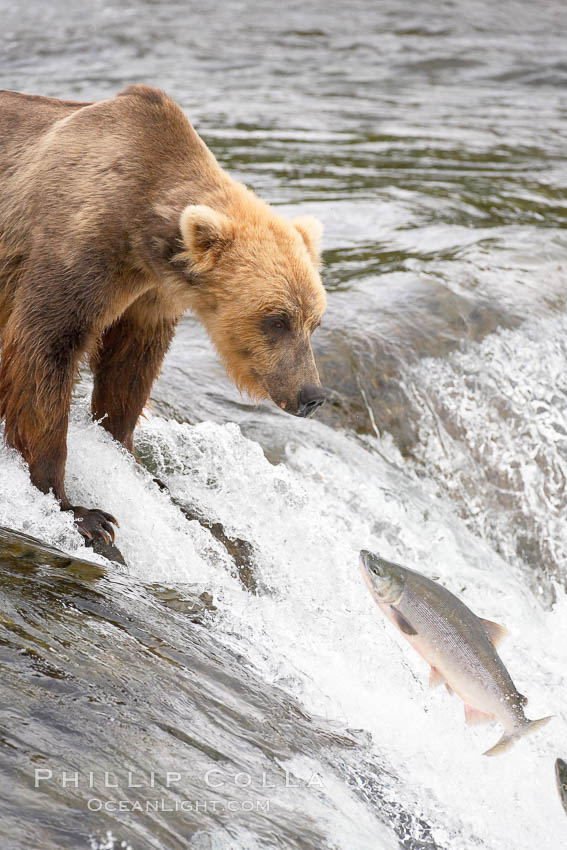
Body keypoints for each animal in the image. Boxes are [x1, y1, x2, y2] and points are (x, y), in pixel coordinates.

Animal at [0, 86, 328, 544]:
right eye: (277, 320)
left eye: (314, 322)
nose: (312, 395)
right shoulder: (74, 246)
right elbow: (45, 349)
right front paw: (81, 512)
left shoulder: (149, 296)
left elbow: (130, 368)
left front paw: (133, 461)